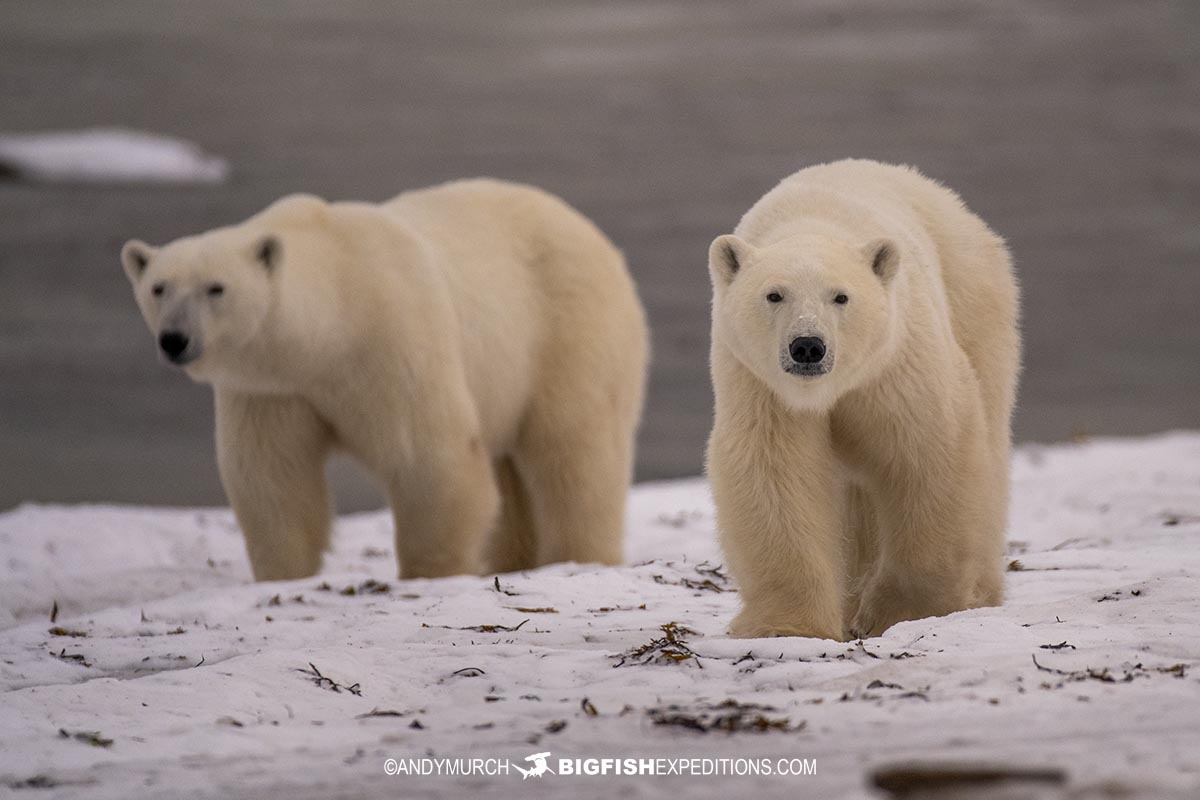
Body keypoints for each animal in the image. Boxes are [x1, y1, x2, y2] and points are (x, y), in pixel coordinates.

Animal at [121, 179, 648, 582]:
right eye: (159, 287)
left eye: (216, 288)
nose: (175, 339)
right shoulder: (273, 389)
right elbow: (273, 478)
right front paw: (284, 574)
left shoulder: (392, 341)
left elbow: (430, 458)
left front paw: (432, 572)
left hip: (566, 330)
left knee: (573, 451)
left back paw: (578, 556)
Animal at [705, 159, 1017, 642]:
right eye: (774, 294)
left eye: (841, 296)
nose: (808, 347)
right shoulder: (761, 386)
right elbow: (775, 474)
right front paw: (786, 626)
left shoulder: (894, 366)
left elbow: (927, 455)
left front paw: (907, 612)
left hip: (976, 306)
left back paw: (978, 592)